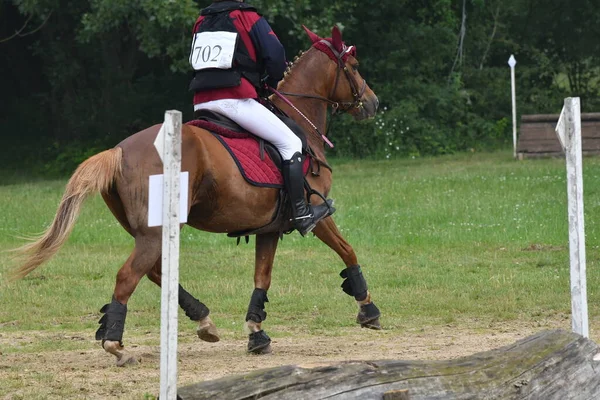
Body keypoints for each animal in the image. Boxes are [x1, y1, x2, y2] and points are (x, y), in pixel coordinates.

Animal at [10, 25, 380, 366]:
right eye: (354, 65)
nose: (372, 102)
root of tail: (118, 150)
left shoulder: (269, 228)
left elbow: (262, 276)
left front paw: (256, 333)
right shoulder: (317, 214)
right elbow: (347, 250)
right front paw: (368, 308)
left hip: (150, 231)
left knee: (155, 271)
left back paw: (203, 320)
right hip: (154, 232)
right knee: (130, 275)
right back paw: (116, 344)